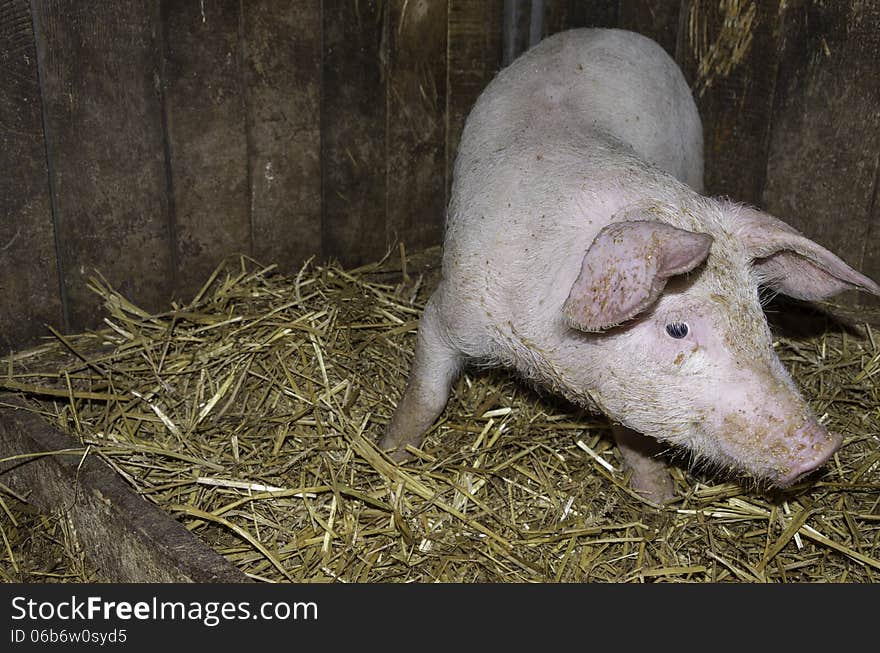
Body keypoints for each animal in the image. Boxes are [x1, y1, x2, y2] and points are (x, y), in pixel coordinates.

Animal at [380, 28, 880, 502]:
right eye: (677, 329)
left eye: (758, 316)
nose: (822, 448)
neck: (546, 352)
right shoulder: (449, 309)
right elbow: (426, 395)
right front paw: (389, 453)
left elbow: (635, 433)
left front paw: (659, 498)